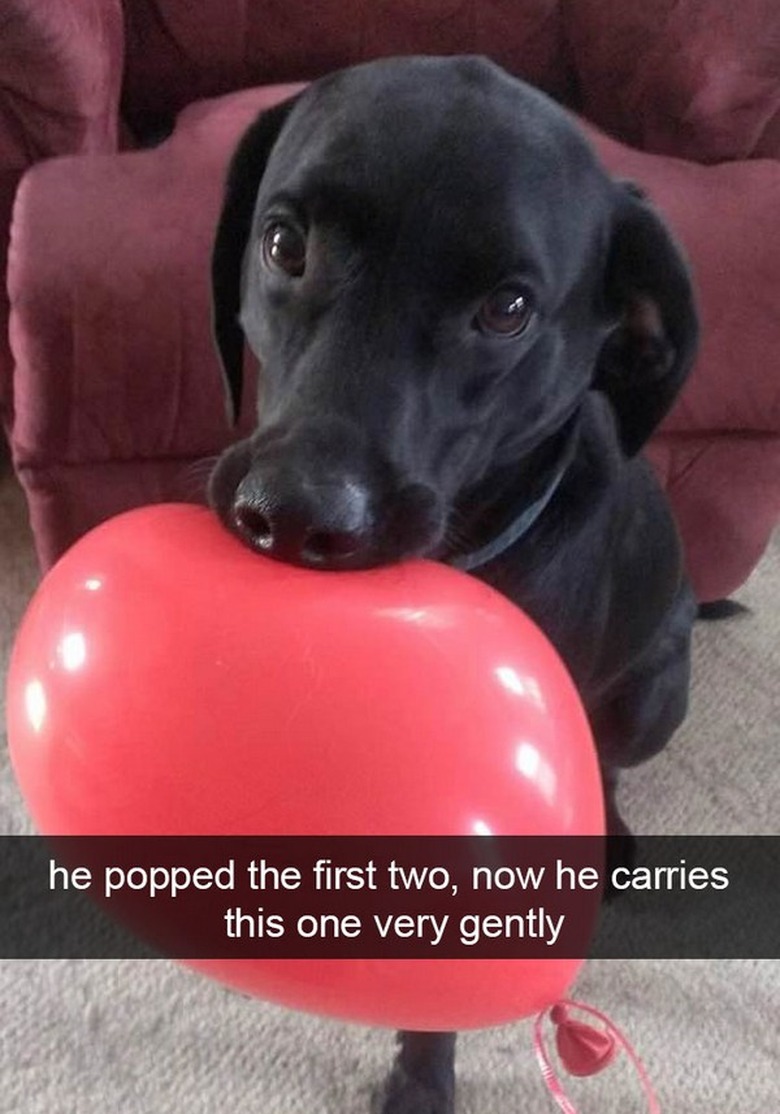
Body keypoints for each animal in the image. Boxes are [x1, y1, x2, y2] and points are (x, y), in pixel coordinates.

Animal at [203, 54, 699, 1114]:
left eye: (507, 310)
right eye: (284, 243)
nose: (293, 514)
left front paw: (421, 1076)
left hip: (651, 696)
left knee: (608, 757)